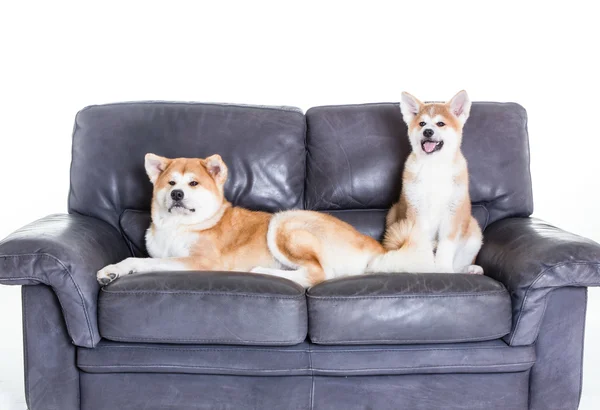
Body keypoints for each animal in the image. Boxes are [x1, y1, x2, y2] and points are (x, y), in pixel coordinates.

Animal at [97, 152, 418, 286]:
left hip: (284, 223)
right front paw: (111, 271)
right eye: (171, 183)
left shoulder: (202, 262)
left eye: (193, 184)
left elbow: (147, 262)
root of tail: (374, 246)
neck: (180, 226)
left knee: (316, 274)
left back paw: (264, 272)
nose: (177, 194)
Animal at [384, 90, 482, 276]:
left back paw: (471, 269)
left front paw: (443, 269)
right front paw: (424, 266)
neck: (434, 167)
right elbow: (419, 243)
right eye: (422, 123)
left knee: (459, 265)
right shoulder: (416, 210)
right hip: (392, 215)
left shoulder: (452, 213)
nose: (428, 132)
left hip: (474, 231)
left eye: (440, 123)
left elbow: (446, 247)